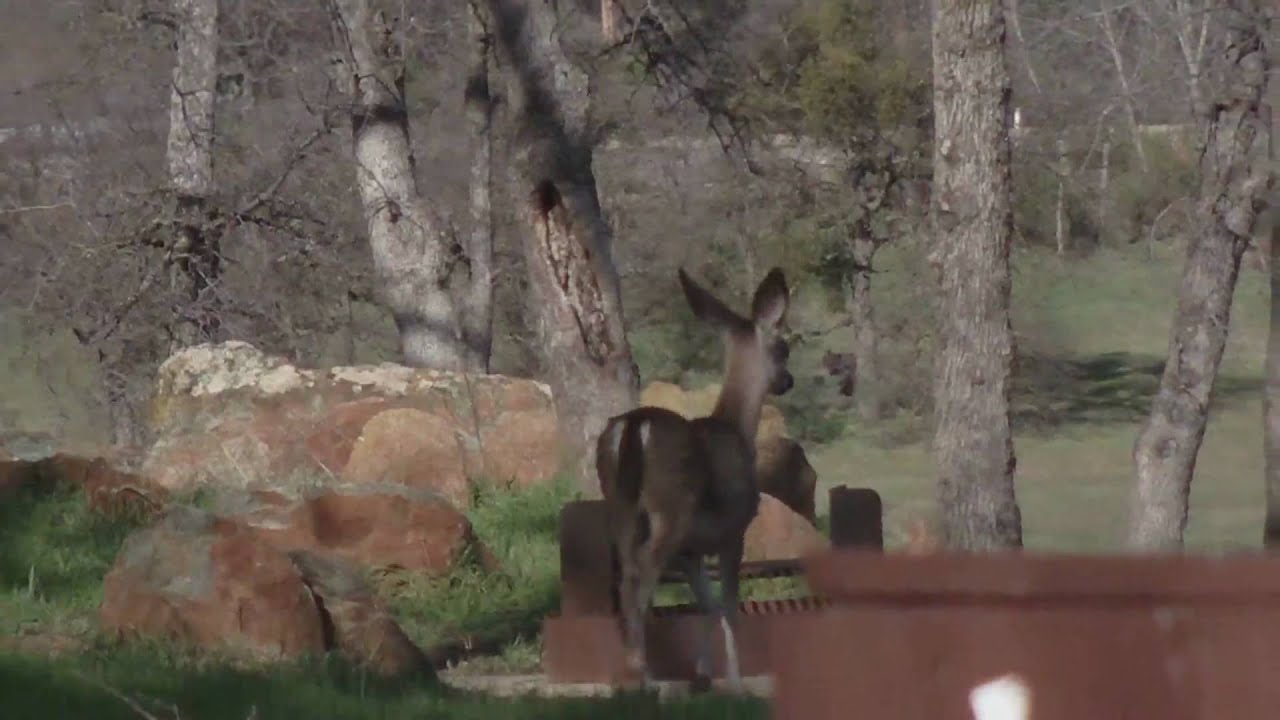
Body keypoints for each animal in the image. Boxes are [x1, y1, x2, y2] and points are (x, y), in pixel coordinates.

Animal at [596, 266, 793, 692]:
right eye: (783, 347)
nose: (788, 381)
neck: (738, 429)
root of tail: (634, 426)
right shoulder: (733, 530)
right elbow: (729, 605)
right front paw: (735, 682)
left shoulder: (692, 549)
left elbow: (706, 603)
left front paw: (703, 675)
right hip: (671, 508)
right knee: (640, 580)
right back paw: (646, 678)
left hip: (619, 505)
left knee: (626, 578)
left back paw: (631, 676)